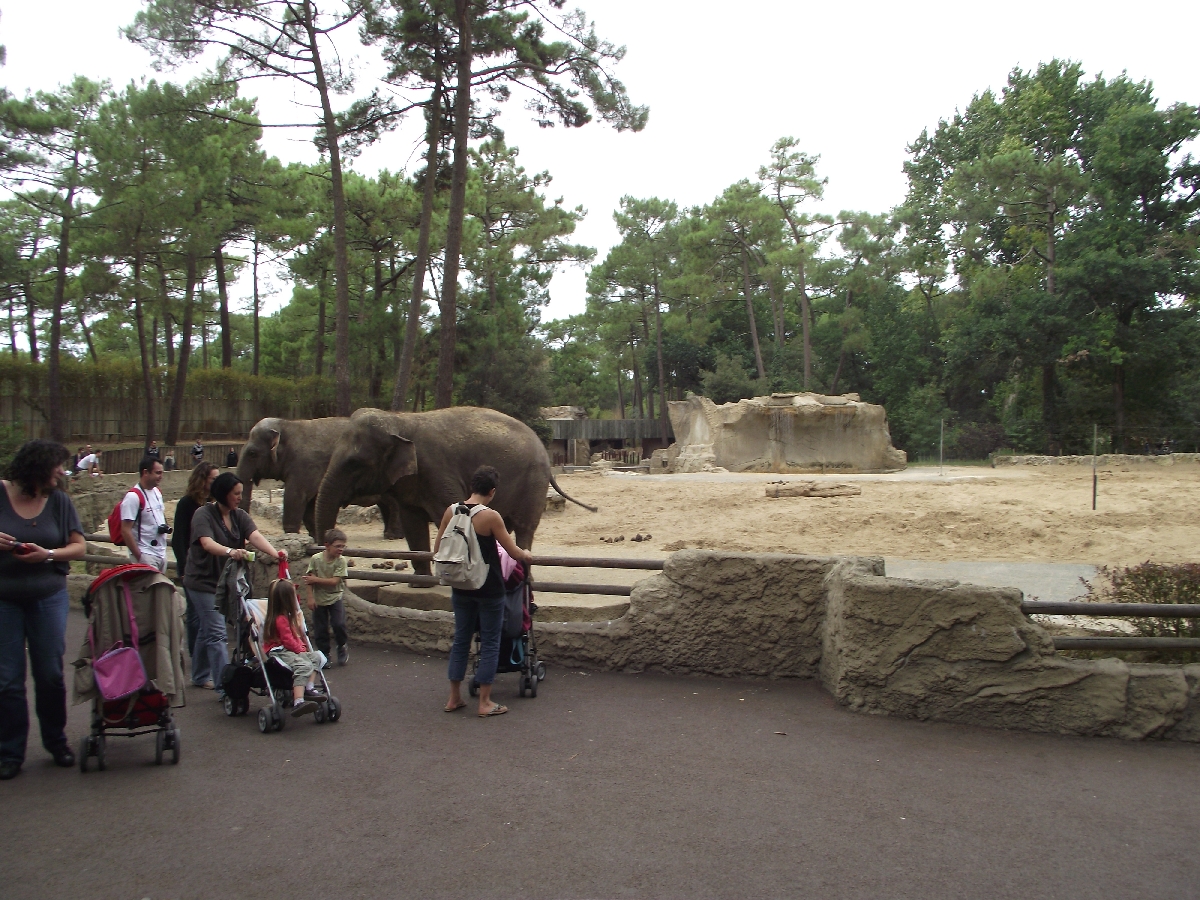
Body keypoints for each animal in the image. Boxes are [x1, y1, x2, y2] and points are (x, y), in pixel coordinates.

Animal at [237, 417, 405, 540]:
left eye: (252, 453)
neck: (288, 424)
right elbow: (310, 504)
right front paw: (315, 538)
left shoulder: (306, 467)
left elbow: (295, 498)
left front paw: (292, 536)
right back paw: (390, 534)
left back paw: (393, 536)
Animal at [313, 407, 597, 574]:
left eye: (355, 463)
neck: (401, 419)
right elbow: (412, 525)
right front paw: (420, 584)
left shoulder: (437, 470)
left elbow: (446, 516)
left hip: (533, 481)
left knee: (525, 527)